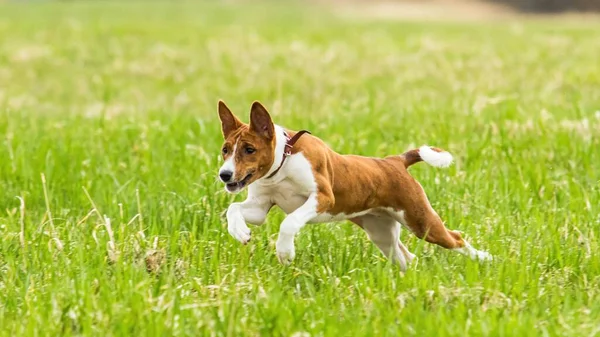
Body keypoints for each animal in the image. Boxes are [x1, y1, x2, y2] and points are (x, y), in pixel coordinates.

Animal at [218, 98, 490, 270]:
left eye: (249, 149)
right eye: (225, 150)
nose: (224, 175)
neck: (283, 163)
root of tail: (395, 161)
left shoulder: (323, 197)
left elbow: (289, 222)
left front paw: (285, 252)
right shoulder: (260, 207)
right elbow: (233, 209)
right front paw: (239, 231)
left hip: (421, 222)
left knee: (456, 239)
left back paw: (485, 258)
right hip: (382, 232)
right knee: (407, 258)